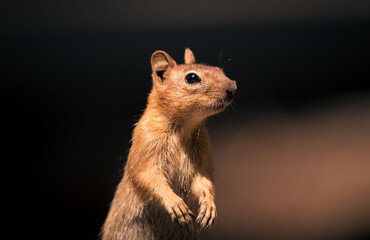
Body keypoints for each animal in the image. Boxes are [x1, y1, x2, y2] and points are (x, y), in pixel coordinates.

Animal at [102, 47, 237, 239]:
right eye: (192, 78)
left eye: (220, 70)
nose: (232, 87)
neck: (183, 128)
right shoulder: (146, 140)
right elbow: (147, 175)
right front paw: (175, 203)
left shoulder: (202, 149)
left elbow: (204, 181)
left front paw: (209, 206)